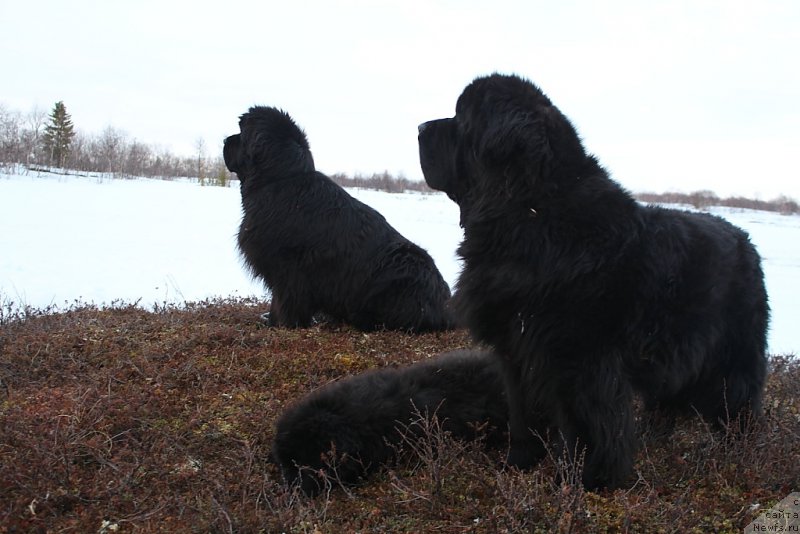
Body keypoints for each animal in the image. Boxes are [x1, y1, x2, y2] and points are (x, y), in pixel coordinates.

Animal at [223, 107, 456, 332]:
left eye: (241, 134)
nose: (225, 140)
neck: (280, 179)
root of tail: (446, 306)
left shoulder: (288, 269)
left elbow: (285, 302)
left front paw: (282, 325)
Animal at [418, 73, 768, 492]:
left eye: (460, 118)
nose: (420, 127)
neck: (531, 216)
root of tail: (745, 240)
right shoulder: (519, 351)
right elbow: (524, 416)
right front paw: (519, 467)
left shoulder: (580, 361)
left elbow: (591, 429)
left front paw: (586, 484)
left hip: (731, 358)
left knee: (739, 405)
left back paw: (741, 457)